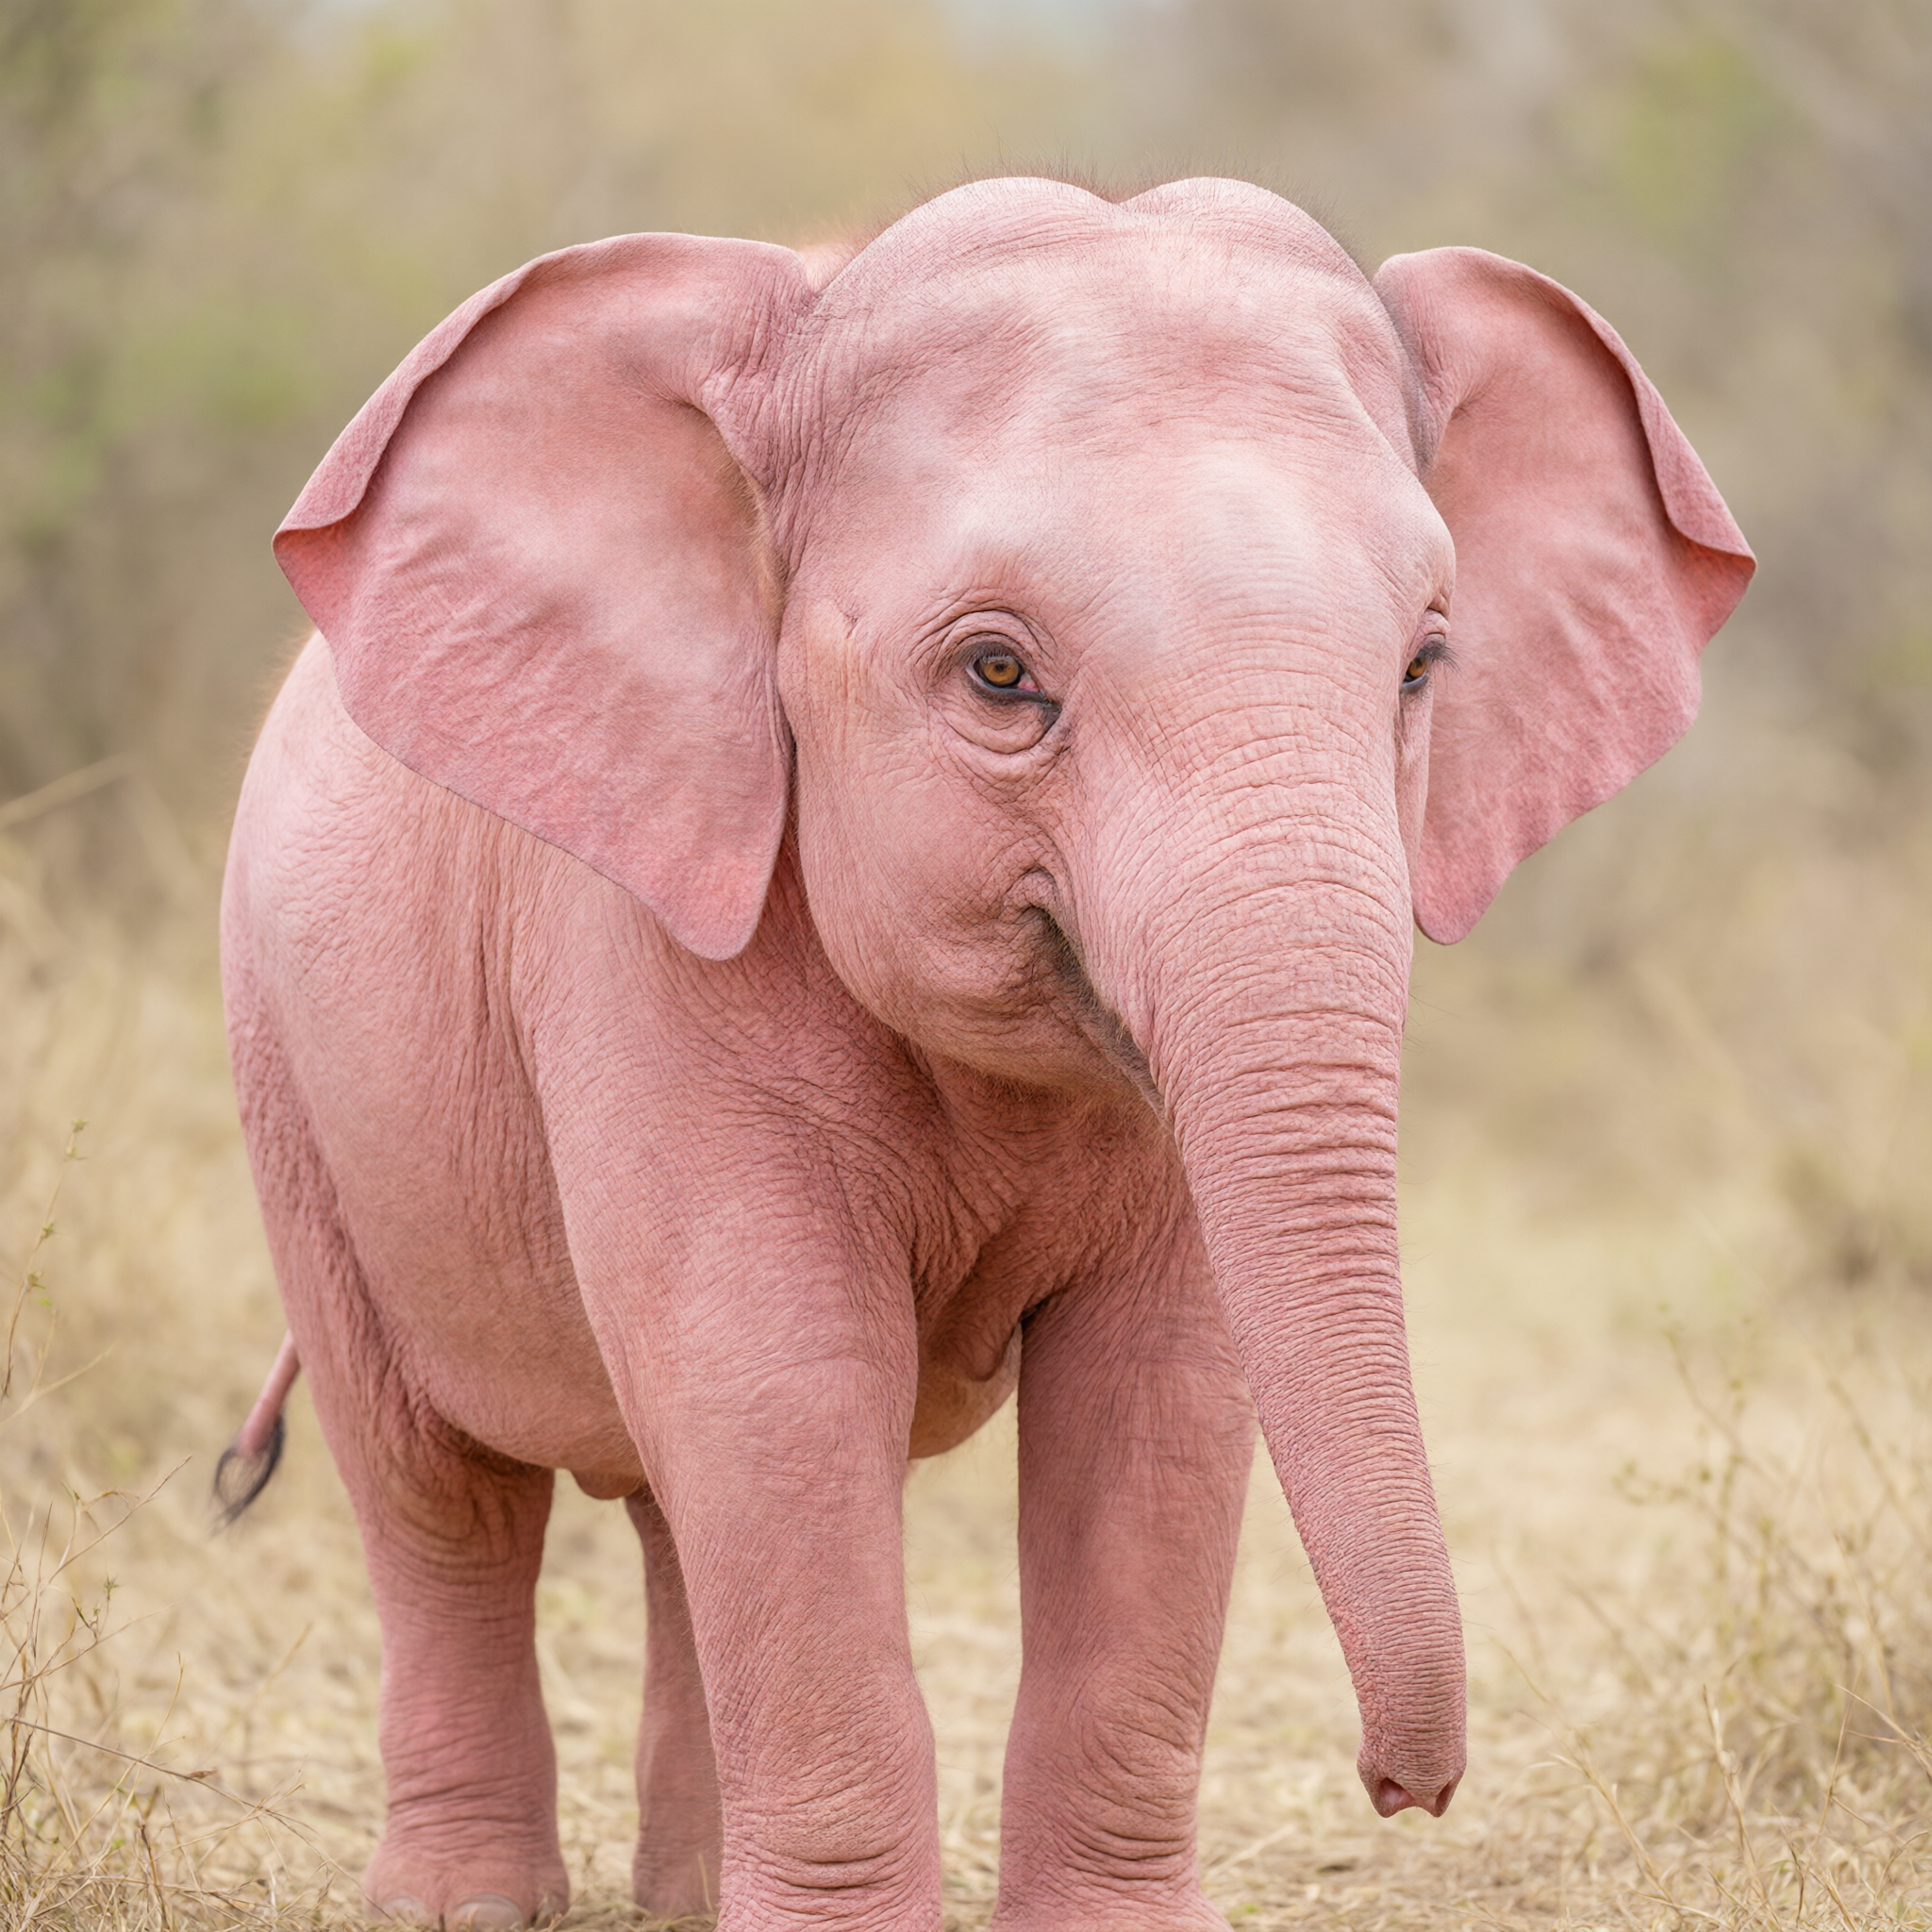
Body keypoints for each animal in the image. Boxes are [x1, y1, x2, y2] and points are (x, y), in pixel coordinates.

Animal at [219, 176, 1751, 1932]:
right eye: (998, 675)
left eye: (1426, 666)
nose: (1402, 1791)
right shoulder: (639, 933)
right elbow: (779, 1373)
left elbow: (1159, 1397)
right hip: (287, 1066)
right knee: (436, 1483)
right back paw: (463, 1903)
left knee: (665, 1516)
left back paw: (681, 1897)